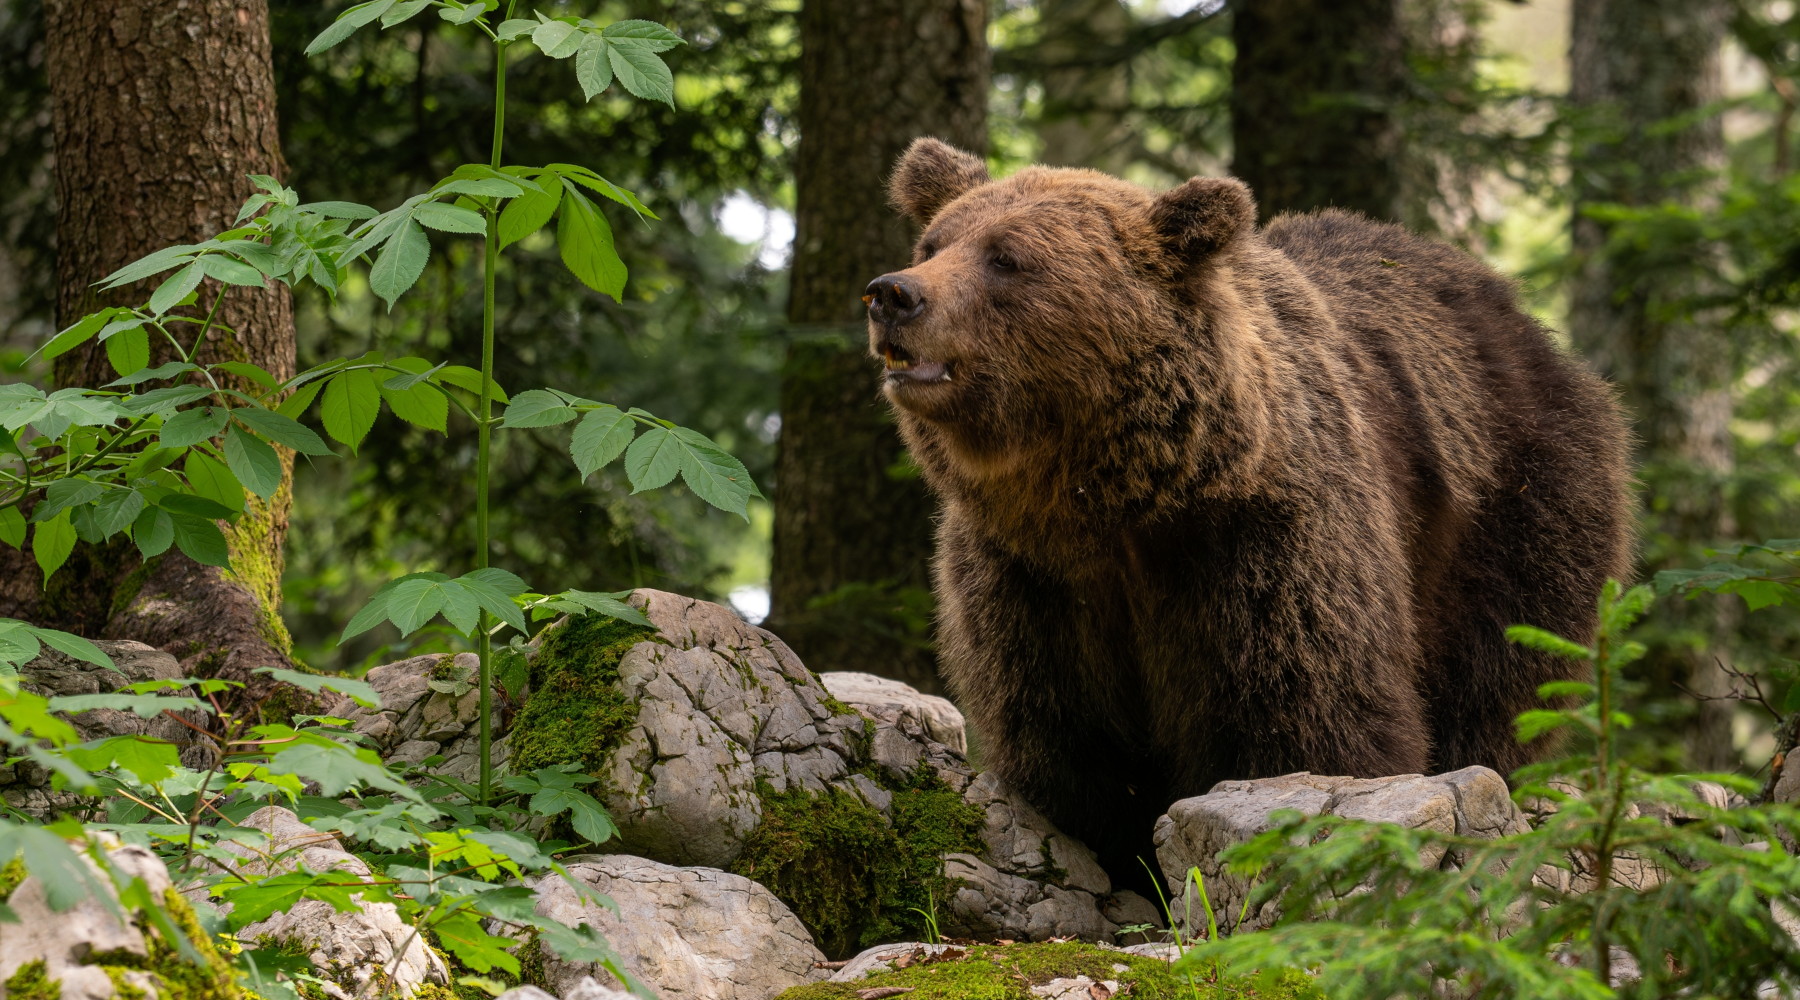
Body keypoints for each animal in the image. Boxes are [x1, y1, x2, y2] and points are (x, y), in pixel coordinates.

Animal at [862, 138, 1635, 882]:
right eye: (932, 243)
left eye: (1007, 257)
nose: (892, 293)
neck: (1111, 503)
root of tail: (1519, 316)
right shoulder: (1031, 573)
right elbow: (1066, 733)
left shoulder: (1262, 544)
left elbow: (1305, 714)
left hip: (1515, 504)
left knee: (1501, 676)